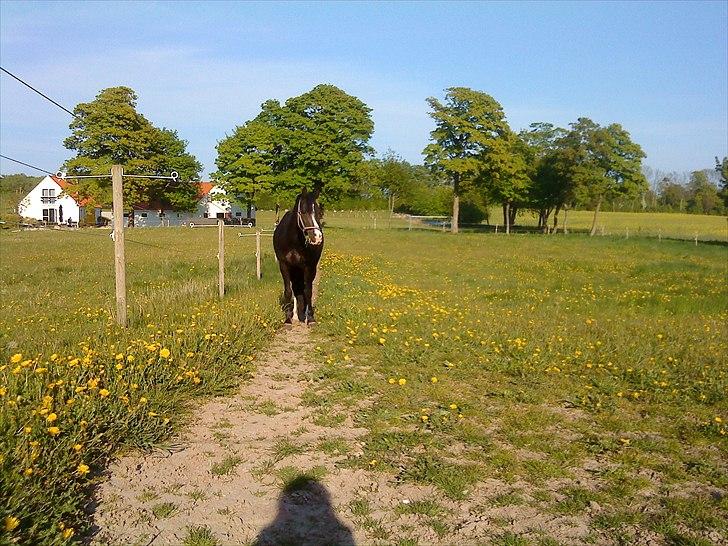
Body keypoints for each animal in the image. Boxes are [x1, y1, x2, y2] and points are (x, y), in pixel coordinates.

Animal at [272, 187, 324, 324]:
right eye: (304, 212)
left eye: (318, 212)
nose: (317, 237)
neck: (293, 241)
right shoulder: (284, 265)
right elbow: (289, 291)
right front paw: (288, 319)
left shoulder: (308, 266)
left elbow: (308, 291)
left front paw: (310, 318)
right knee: (296, 288)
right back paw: (296, 315)